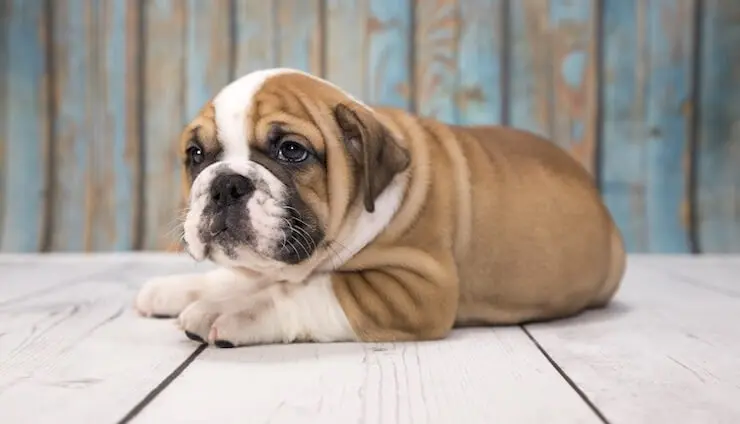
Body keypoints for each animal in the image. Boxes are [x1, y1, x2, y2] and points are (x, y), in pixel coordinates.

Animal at [134, 68, 624, 348]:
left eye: (292, 150)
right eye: (196, 155)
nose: (225, 184)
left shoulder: (414, 288)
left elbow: (300, 293)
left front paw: (230, 312)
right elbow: (237, 277)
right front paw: (177, 290)